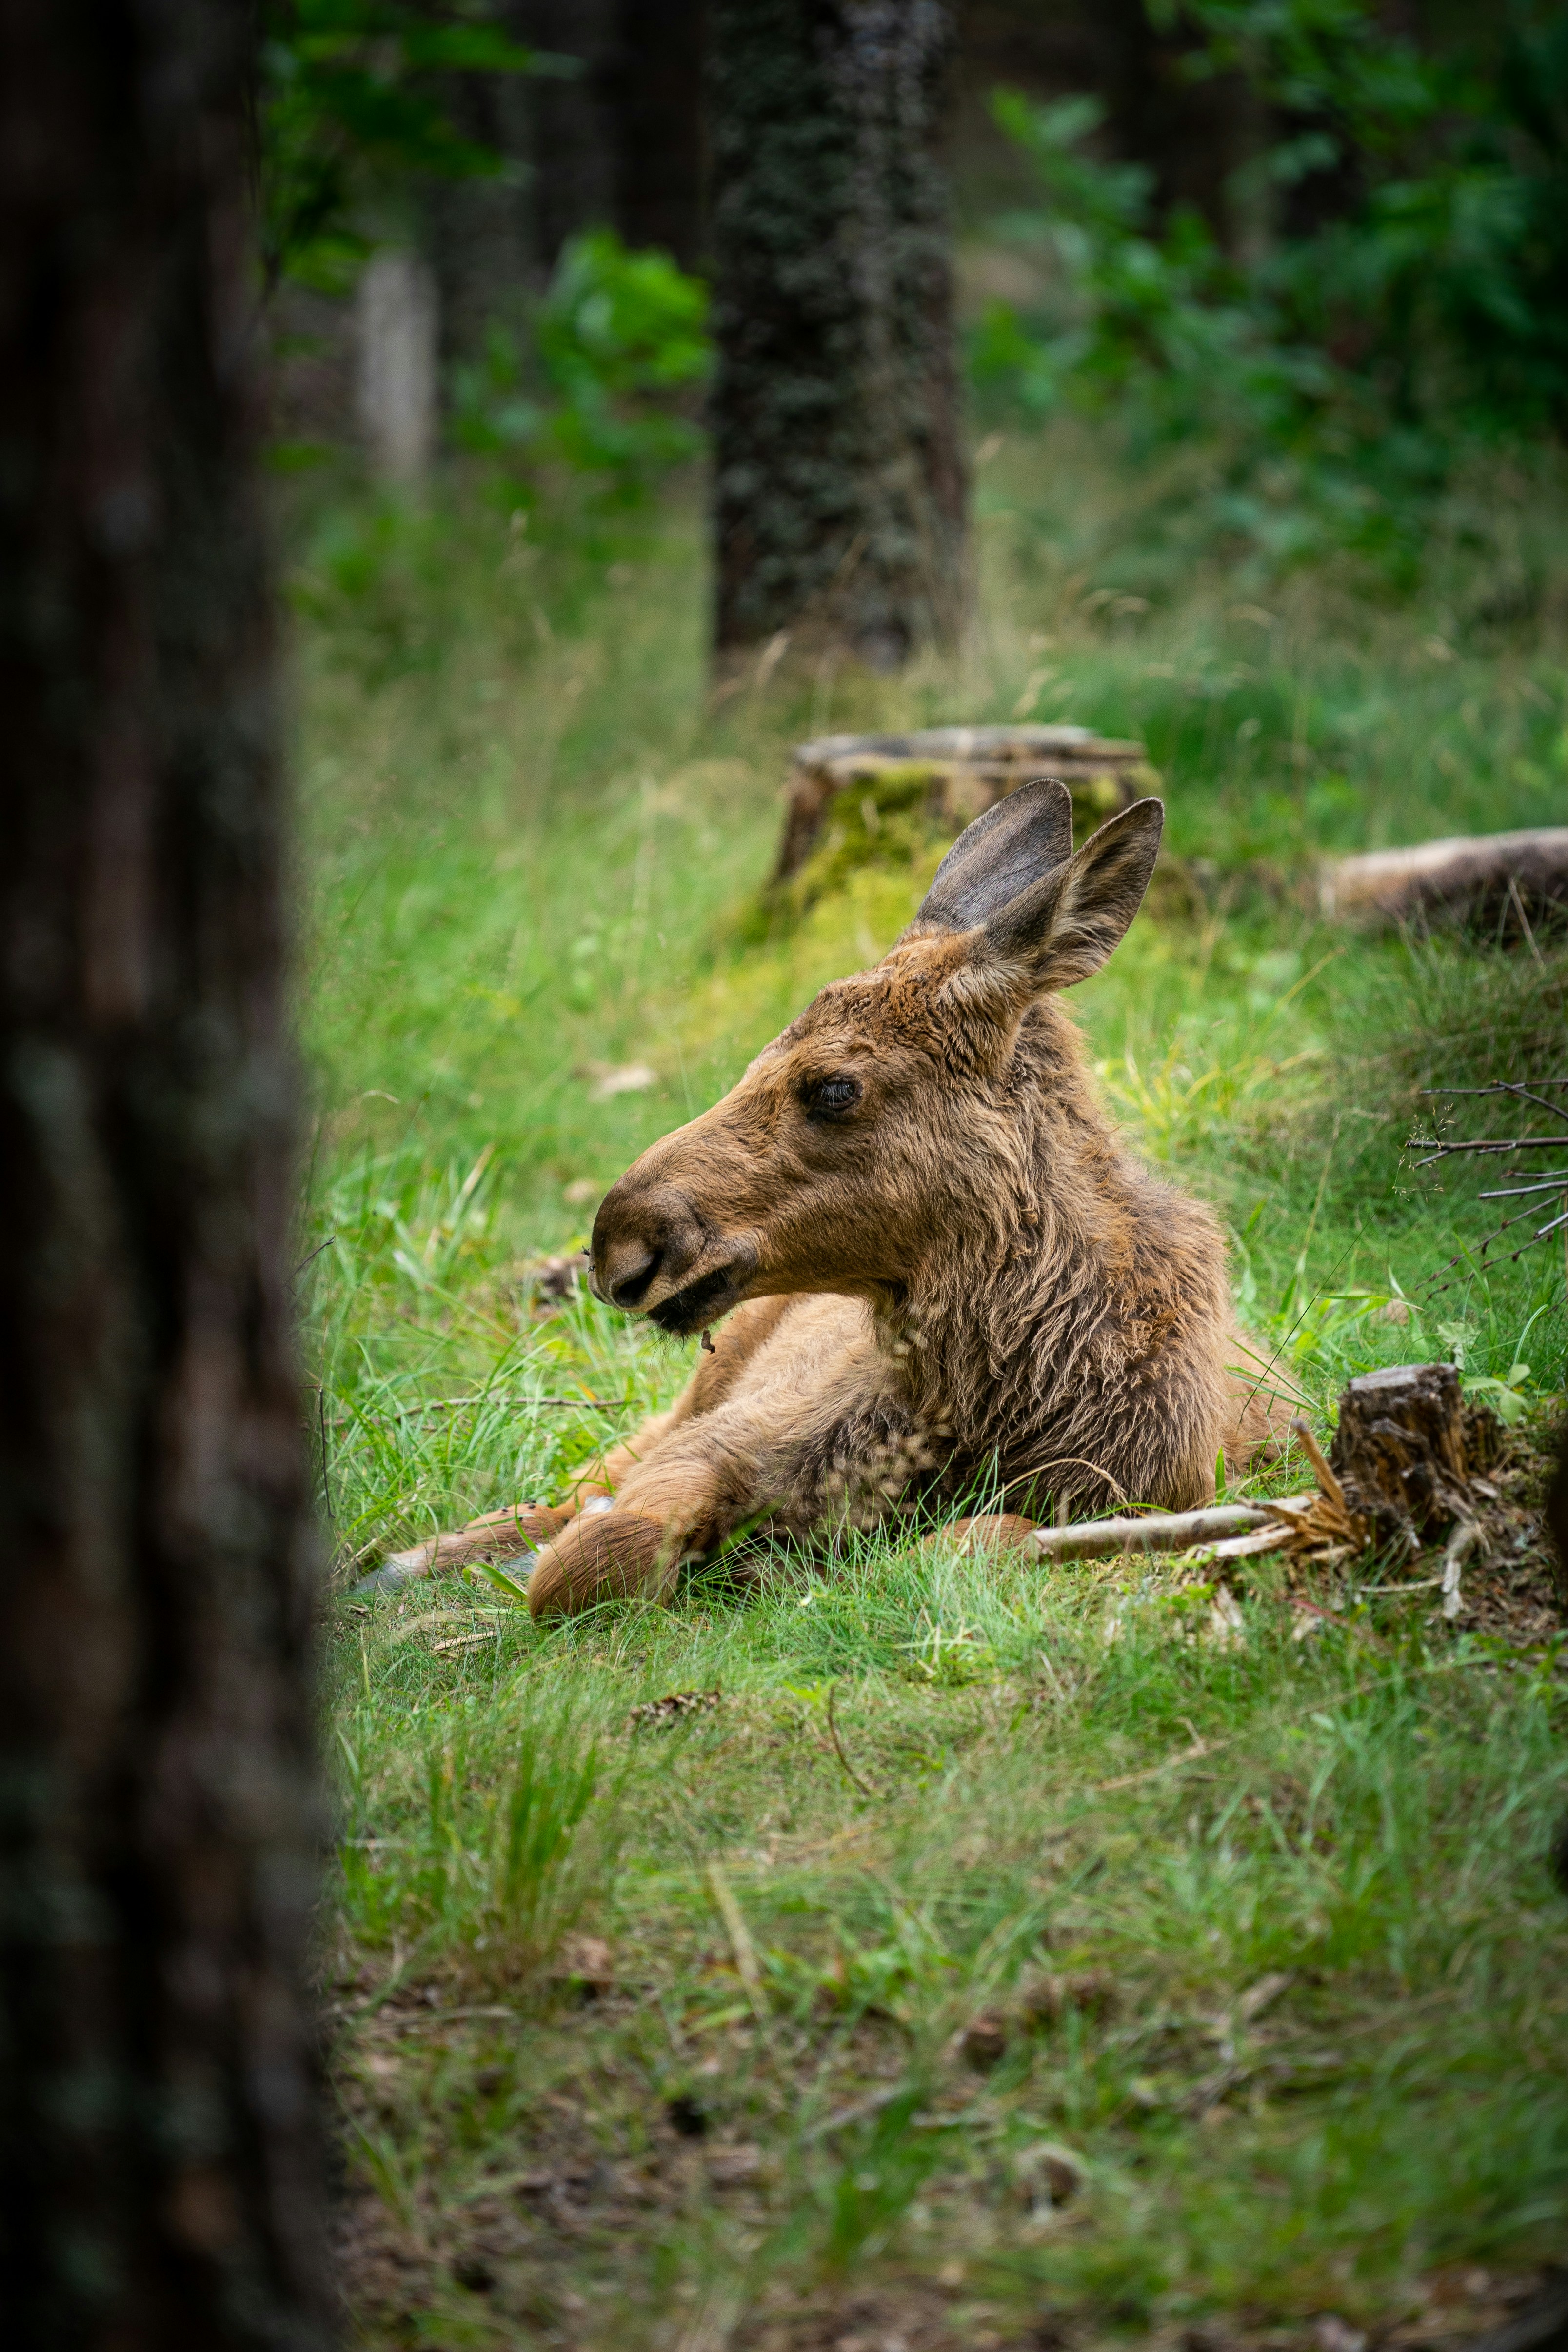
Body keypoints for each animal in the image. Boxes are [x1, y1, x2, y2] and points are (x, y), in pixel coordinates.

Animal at [382, 782, 1279, 1615]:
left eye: (834, 1087)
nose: (618, 1245)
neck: (985, 1407)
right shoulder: (724, 1437)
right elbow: (592, 1558)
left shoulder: (1138, 1500)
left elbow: (958, 1548)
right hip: (696, 1393)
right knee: (570, 1486)